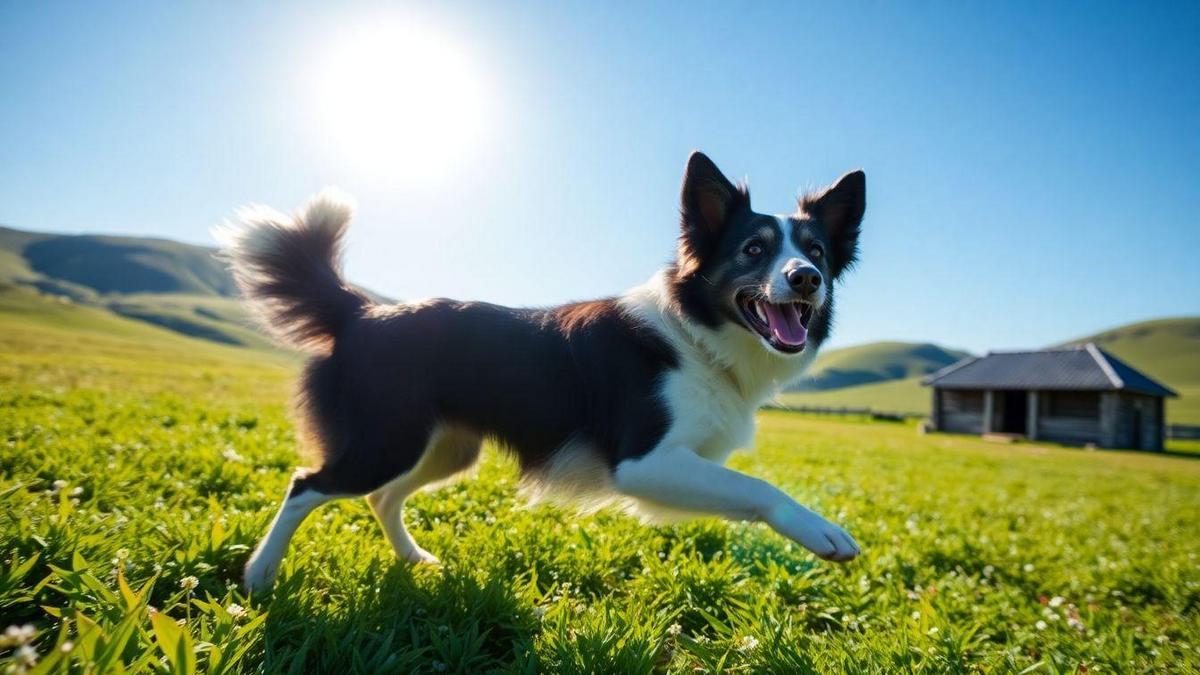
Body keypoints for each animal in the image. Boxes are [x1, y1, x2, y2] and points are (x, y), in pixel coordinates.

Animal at [223, 151, 864, 588]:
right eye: (754, 250)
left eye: (817, 253)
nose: (806, 278)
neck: (695, 333)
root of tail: (363, 311)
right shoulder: (642, 461)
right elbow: (756, 486)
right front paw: (821, 531)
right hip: (388, 440)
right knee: (305, 485)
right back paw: (259, 576)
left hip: (445, 449)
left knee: (381, 498)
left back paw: (414, 560)